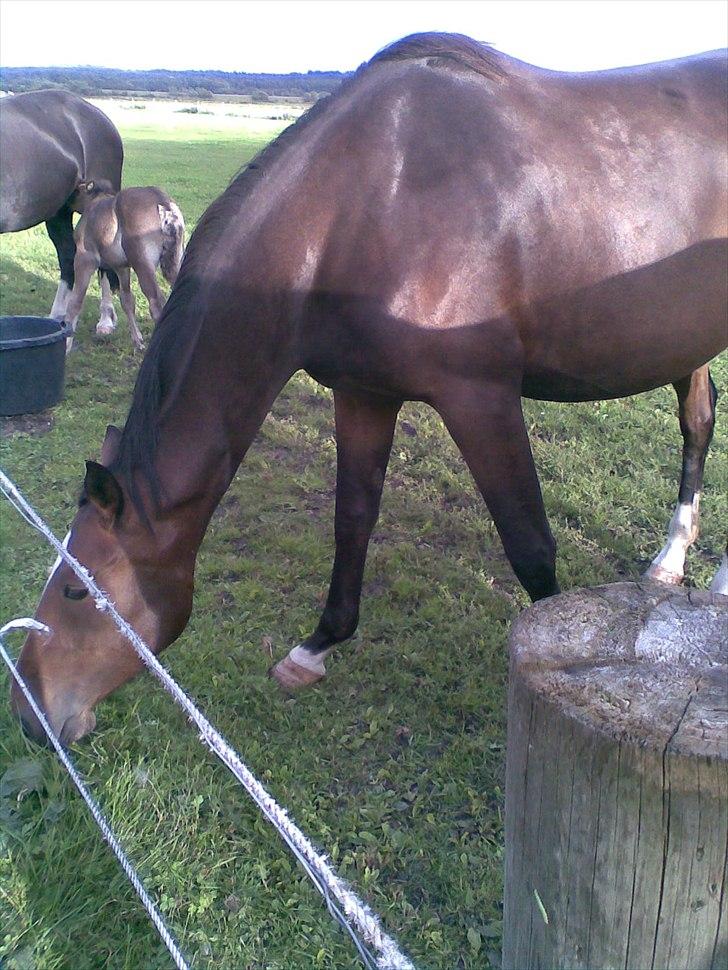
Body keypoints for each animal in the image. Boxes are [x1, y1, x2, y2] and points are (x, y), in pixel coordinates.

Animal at [64, 182, 186, 352]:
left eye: (75, 191)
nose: (65, 205)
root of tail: (165, 205)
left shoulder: (85, 259)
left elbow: (75, 302)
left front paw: (66, 345)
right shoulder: (121, 267)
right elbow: (127, 301)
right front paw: (137, 341)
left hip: (143, 265)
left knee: (156, 304)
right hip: (175, 262)